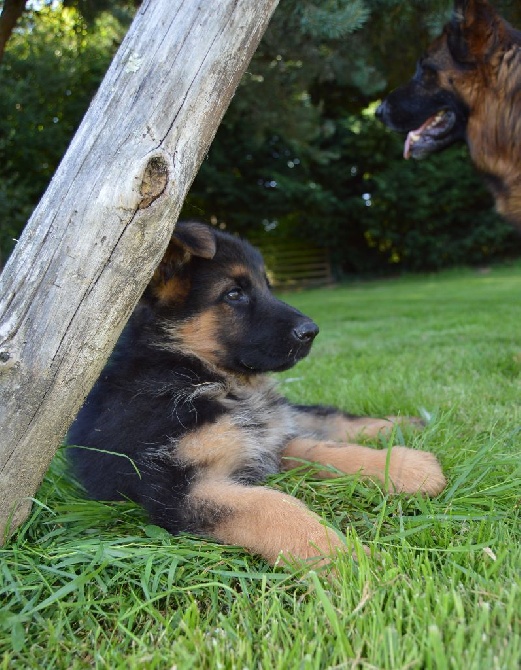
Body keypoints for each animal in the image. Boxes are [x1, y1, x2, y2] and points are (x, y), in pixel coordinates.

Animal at [67, 223, 444, 568]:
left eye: (267, 286)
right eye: (234, 294)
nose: (312, 331)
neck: (201, 374)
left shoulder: (266, 438)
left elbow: (324, 447)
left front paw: (405, 467)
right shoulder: (176, 486)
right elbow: (271, 504)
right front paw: (348, 561)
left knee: (319, 415)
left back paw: (402, 425)